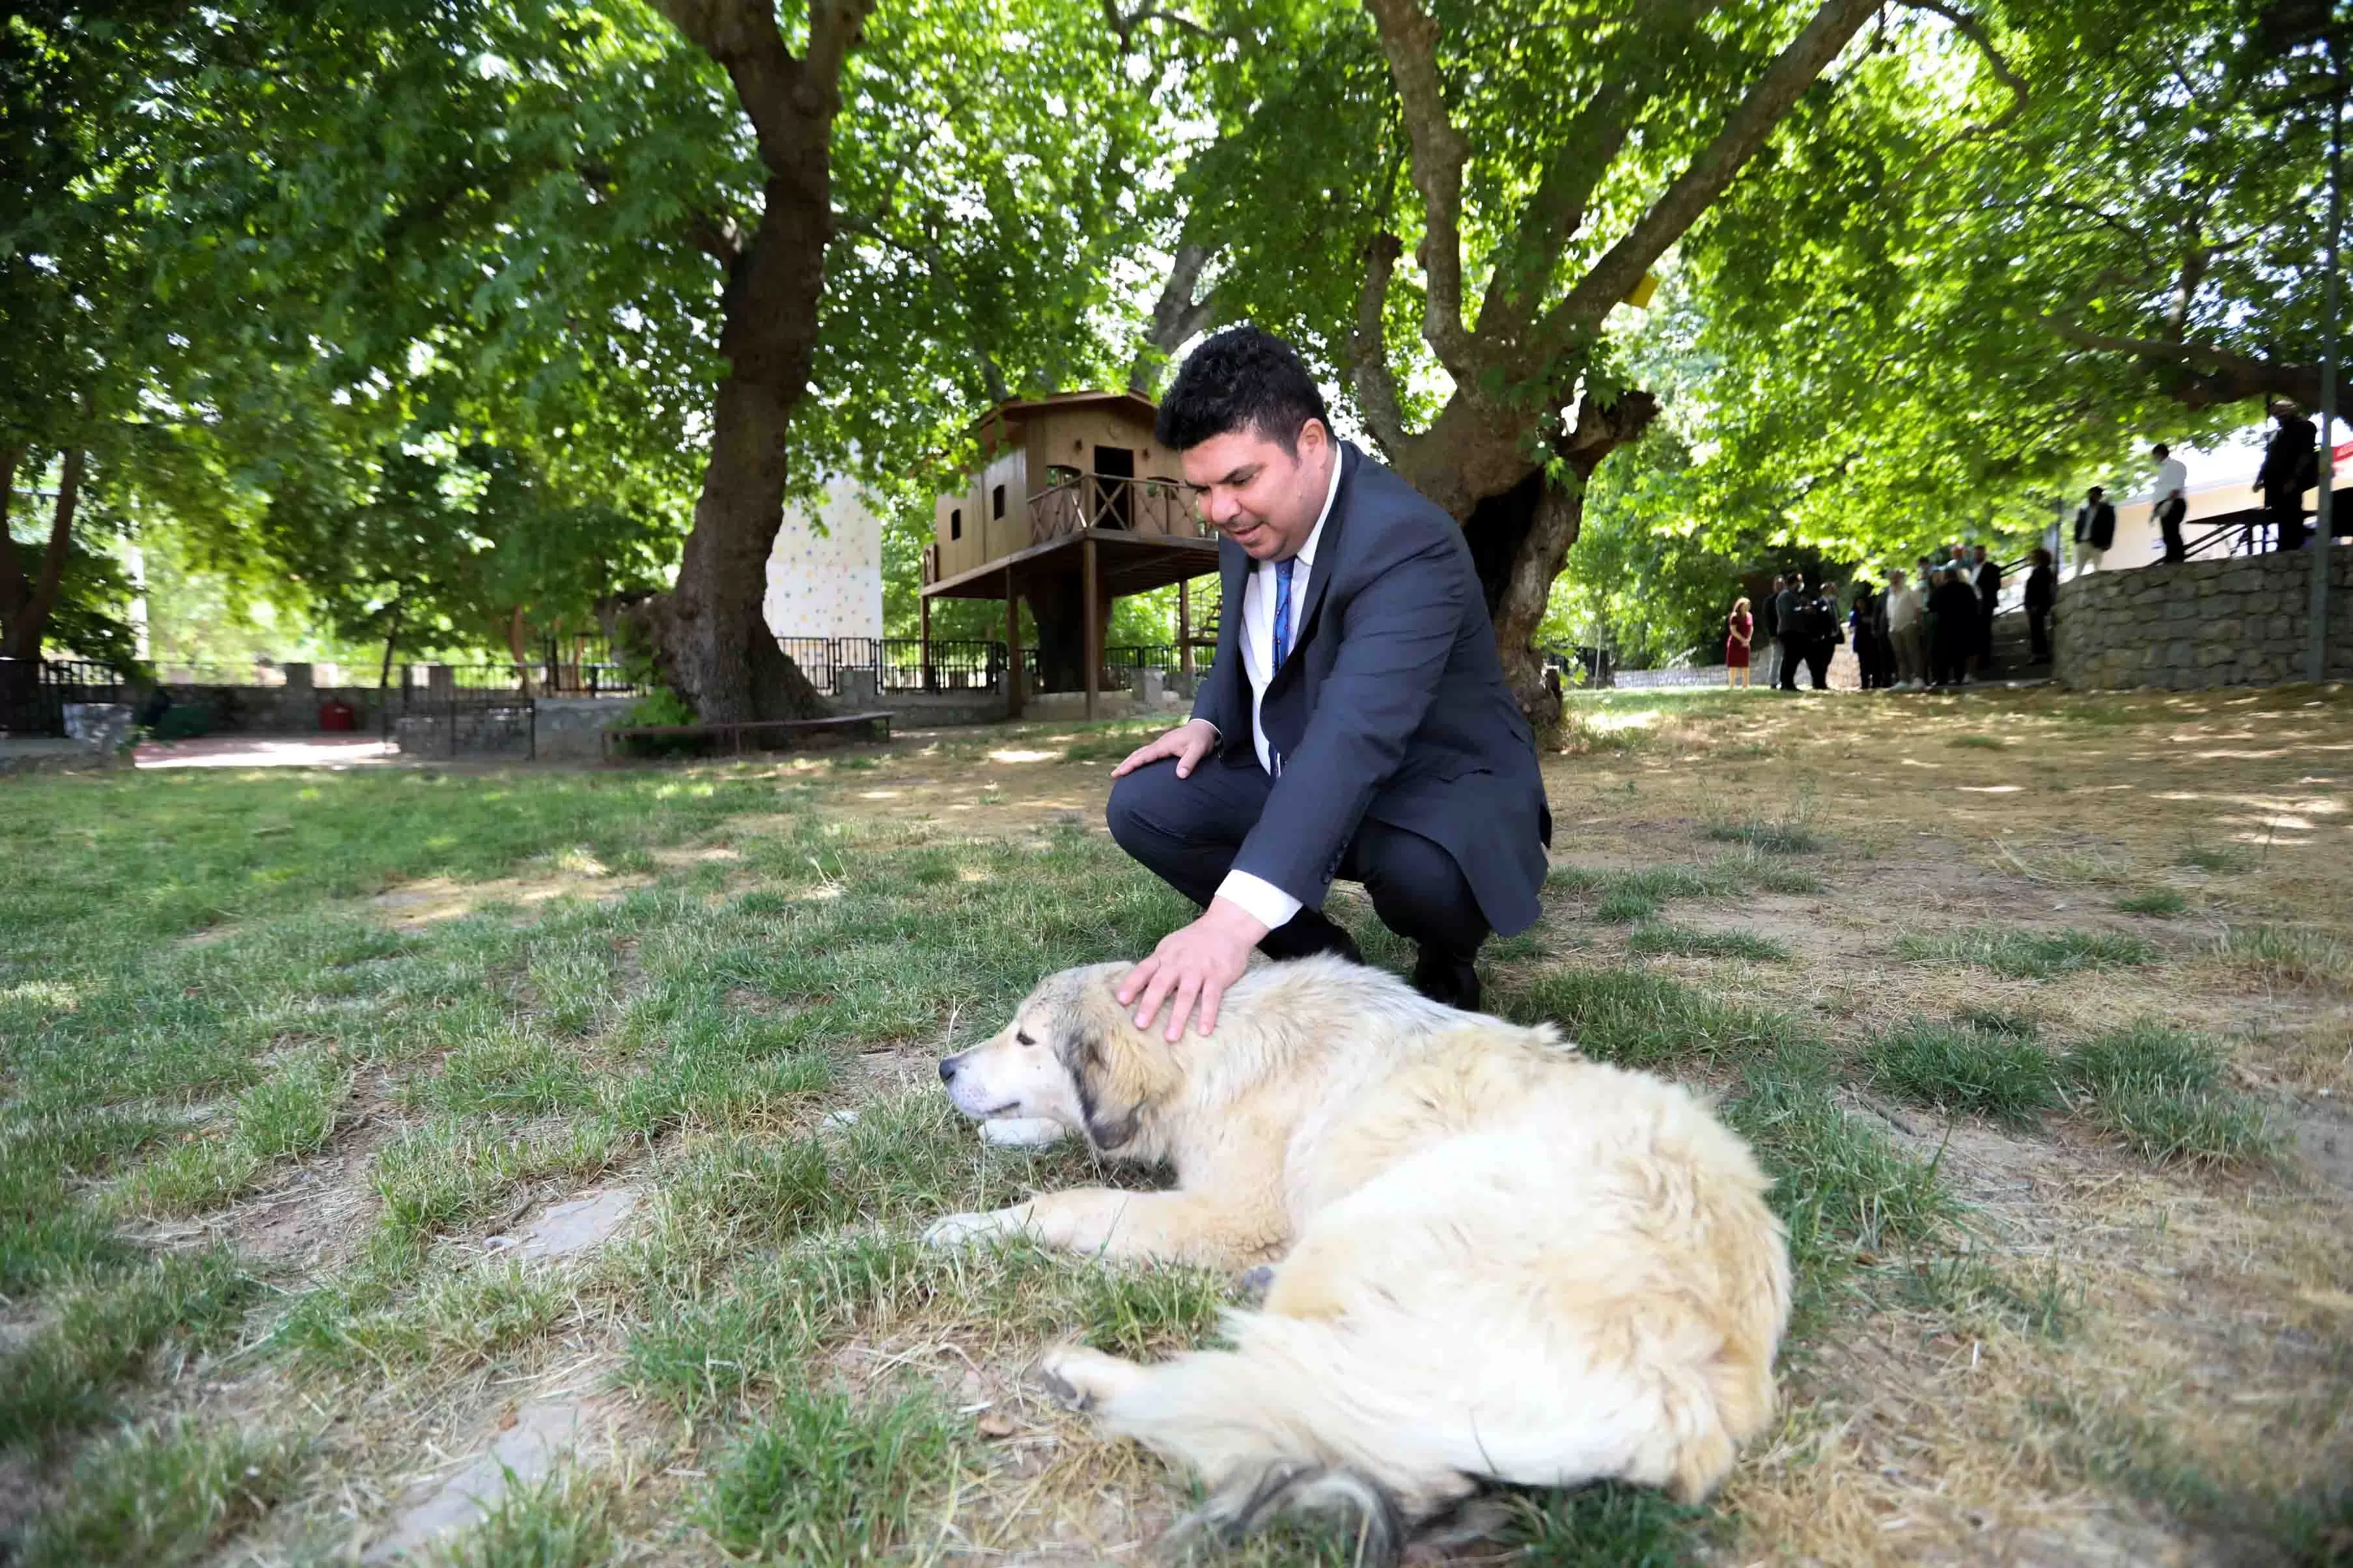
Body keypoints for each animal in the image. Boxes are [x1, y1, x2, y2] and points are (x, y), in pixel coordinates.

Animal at [926, 959, 1788, 1561]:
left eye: (1026, 1040)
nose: (944, 1069)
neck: (1219, 1043)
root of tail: (1686, 1398)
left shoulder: (1230, 1217)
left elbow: (1071, 1202)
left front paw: (968, 1227)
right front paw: (1010, 1134)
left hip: (1369, 1219)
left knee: (1244, 1393)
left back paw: (1085, 1372)